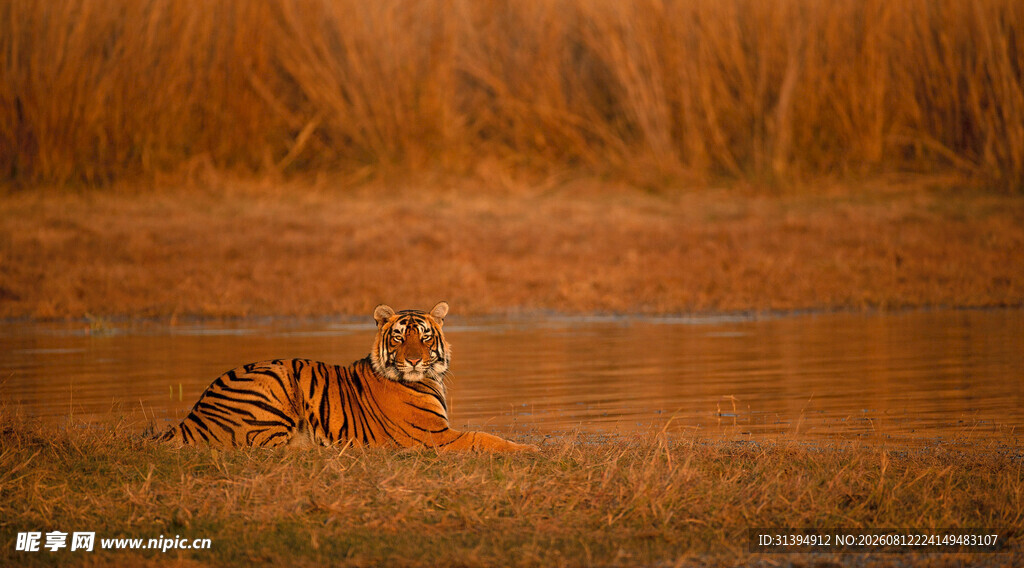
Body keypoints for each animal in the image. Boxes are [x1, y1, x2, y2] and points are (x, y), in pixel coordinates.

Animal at [155, 302, 537, 452]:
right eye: (399, 337)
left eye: (425, 336)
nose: (414, 360)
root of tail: (192, 415)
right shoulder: (435, 437)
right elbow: (484, 437)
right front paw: (531, 449)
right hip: (274, 382)